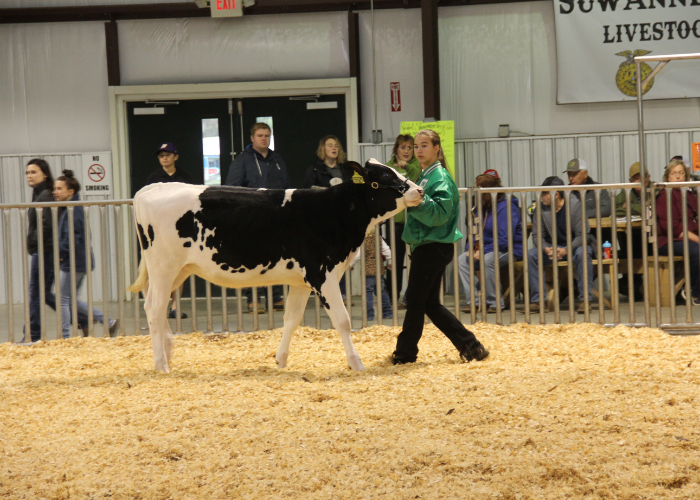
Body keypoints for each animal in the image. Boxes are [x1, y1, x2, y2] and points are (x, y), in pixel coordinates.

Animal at [127, 160, 422, 372]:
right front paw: (356, 363)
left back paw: (167, 352)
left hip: (179, 270)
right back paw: (161, 365)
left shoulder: (301, 280)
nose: (419, 190)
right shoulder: (323, 275)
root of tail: (151, 189)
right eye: (384, 176)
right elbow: (343, 321)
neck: (334, 211)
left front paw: (280, 361)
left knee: (156, 306)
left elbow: (291, 320)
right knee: (154, 308)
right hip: (164, 266)